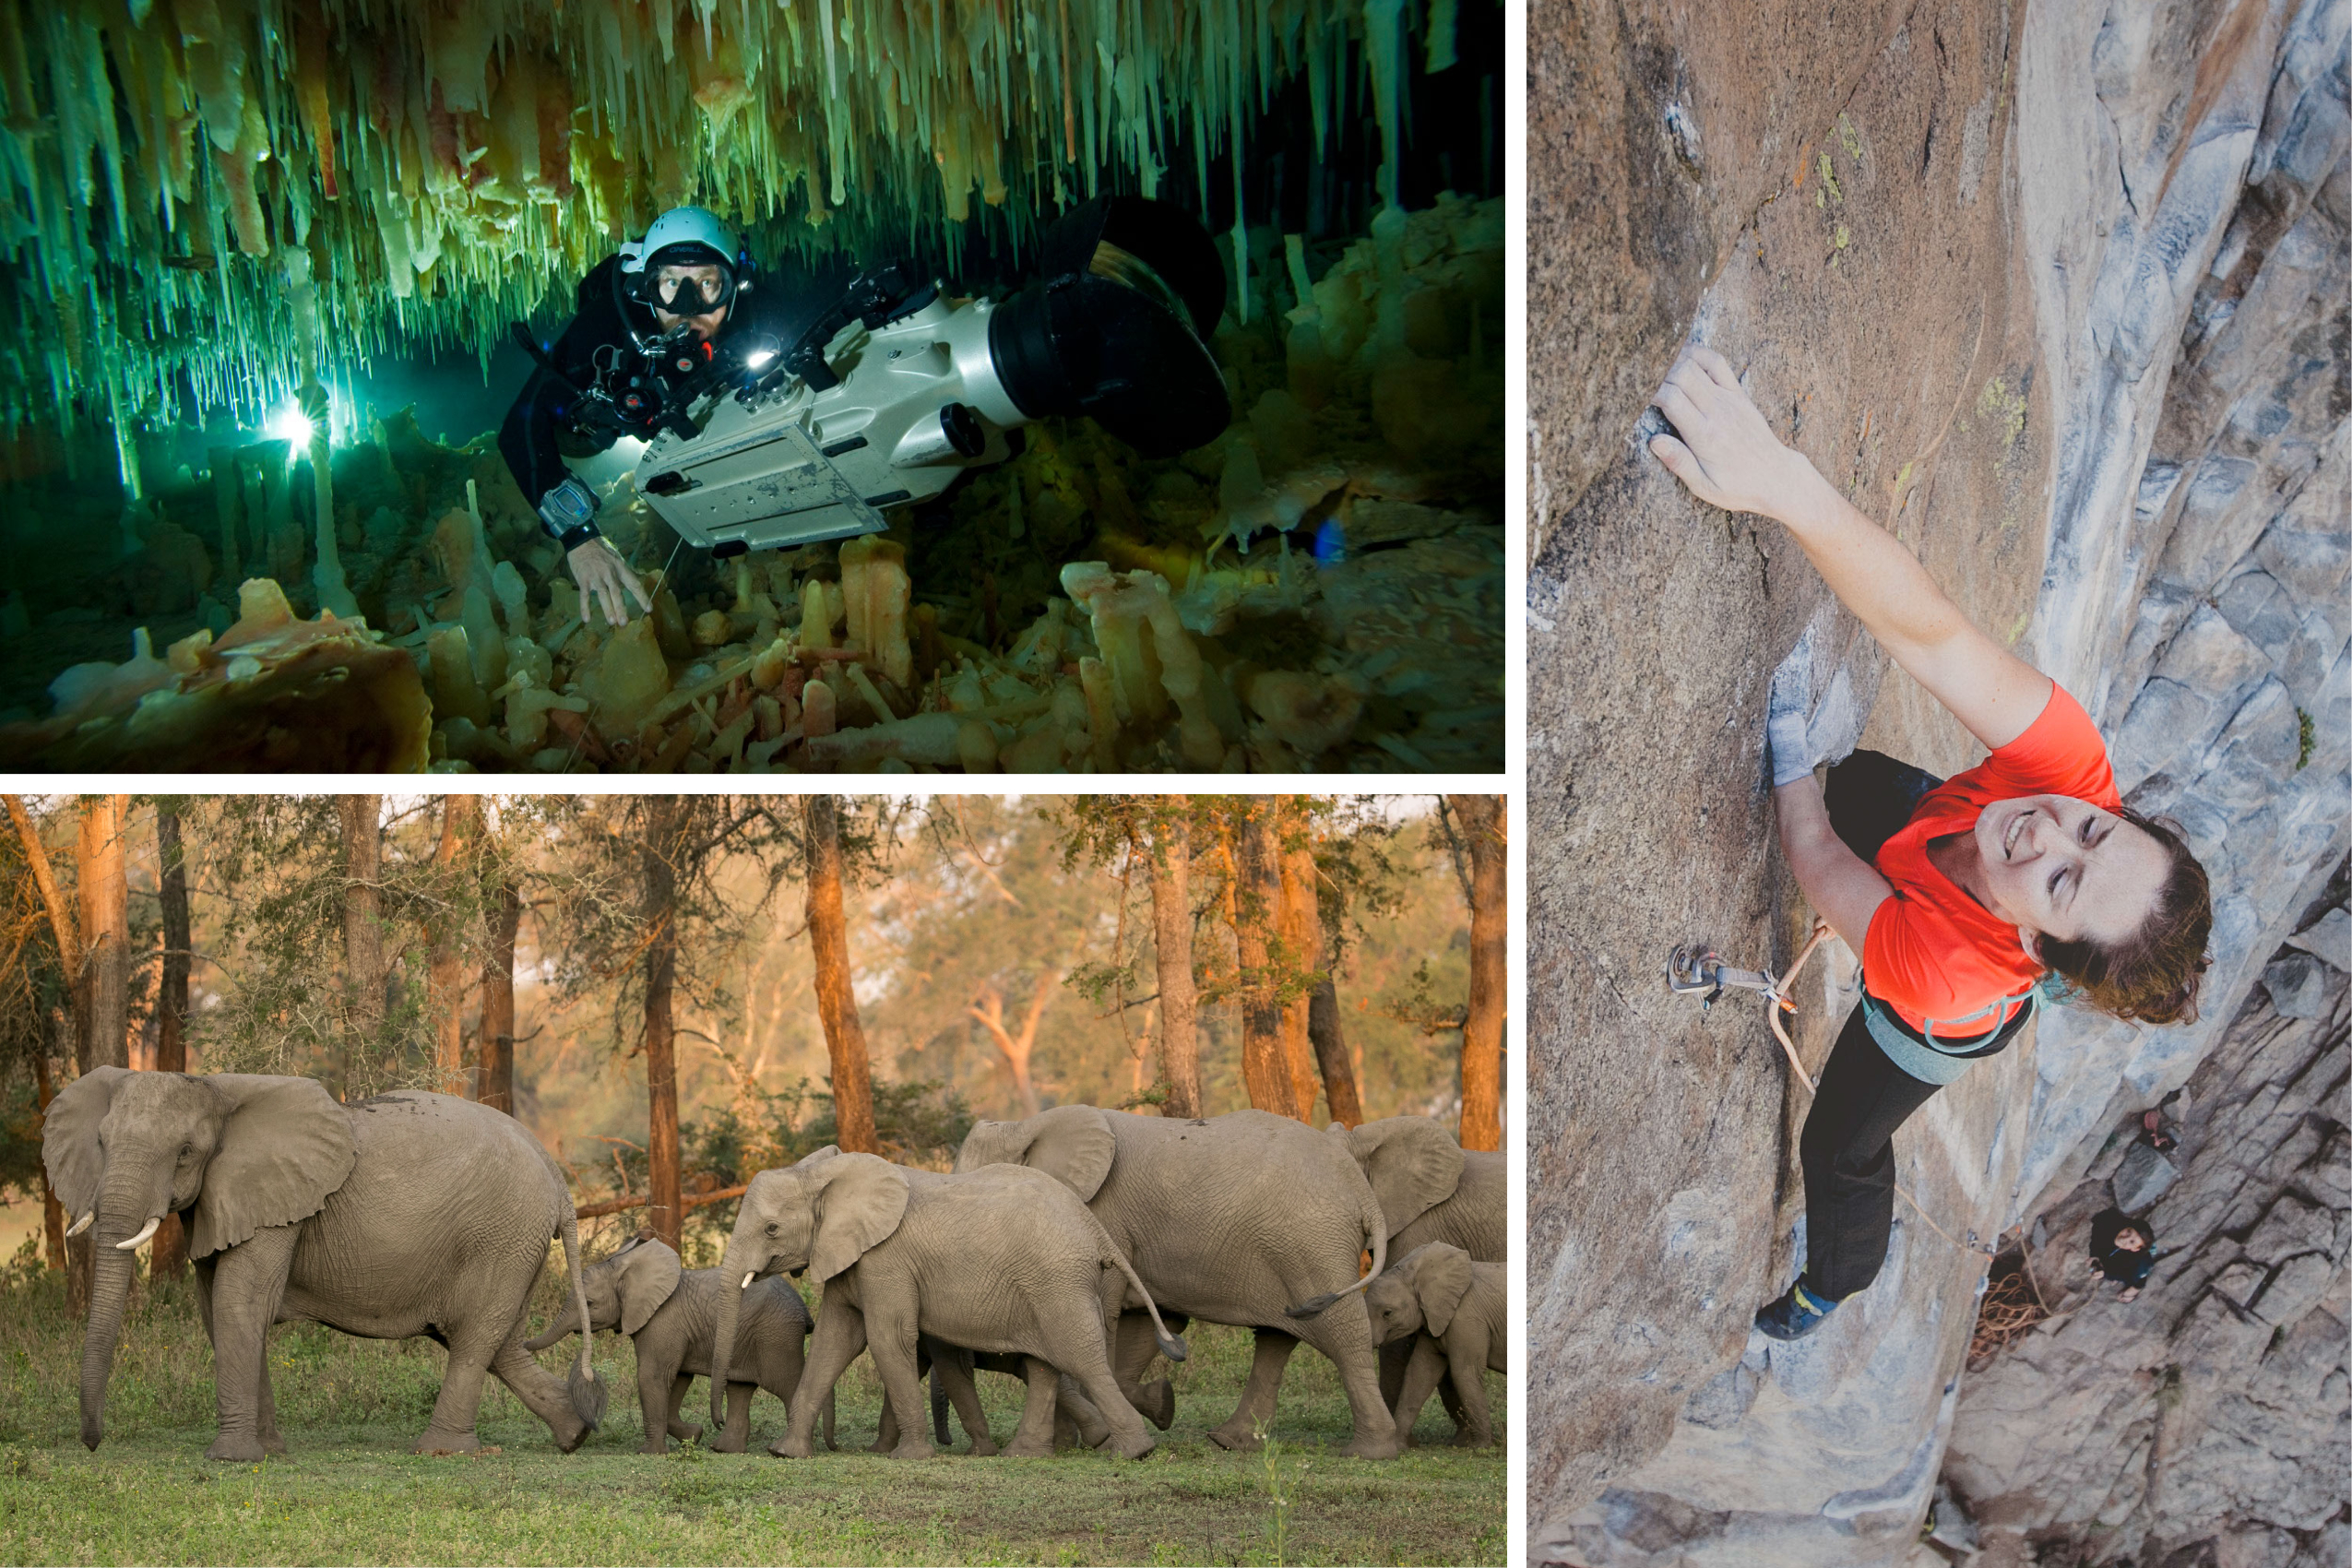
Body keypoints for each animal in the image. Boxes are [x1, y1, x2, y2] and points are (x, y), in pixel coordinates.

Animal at [45, 1067, 601, 1457]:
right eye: (100, 1143)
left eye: (184, 1152)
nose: (93, 1444)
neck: (218, 1089)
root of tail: (555, 1174)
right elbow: (215, 1309)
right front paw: (268, 1453)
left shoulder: (274, 1204)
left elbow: (239, 1303)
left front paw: (232, 1458)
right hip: (514, 1242)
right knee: (499, 1341)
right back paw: (576, 1433)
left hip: (502, 1234)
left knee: (474, 1336)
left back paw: (441, 1451)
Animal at [531, 1241, 818, 1457]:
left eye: (590, 1303)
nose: (525, 1343)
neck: (627, 1269)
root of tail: (804, 1310)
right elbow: (678, 1378)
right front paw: (694, 1436)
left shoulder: (663, 1320)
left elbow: (653, 1376)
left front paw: (648, 1453)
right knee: (740, 1388)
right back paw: (725, 1450)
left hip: (777, 1336)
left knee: (787, 1384)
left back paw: (785, 1450)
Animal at [955, 1104, 1392, 1457]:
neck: (1024, 1125)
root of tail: (1363, 1193)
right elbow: (1148, 1327)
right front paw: (1159, 1407)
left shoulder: (1103, 1217)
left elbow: (1105, 1319)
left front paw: (1102, 1442)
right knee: (1276, 1337)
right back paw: (1229, 1441)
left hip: (1314, 1245)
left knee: (1343, 1335)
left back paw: (1370, 1452)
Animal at [1364, 1241, 1505, 1457]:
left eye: (1387, 1313)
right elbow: (1420, 1373)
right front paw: (1398, 1446)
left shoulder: (1466, 1318)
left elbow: (1466, 1372)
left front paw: (1481, 1448)